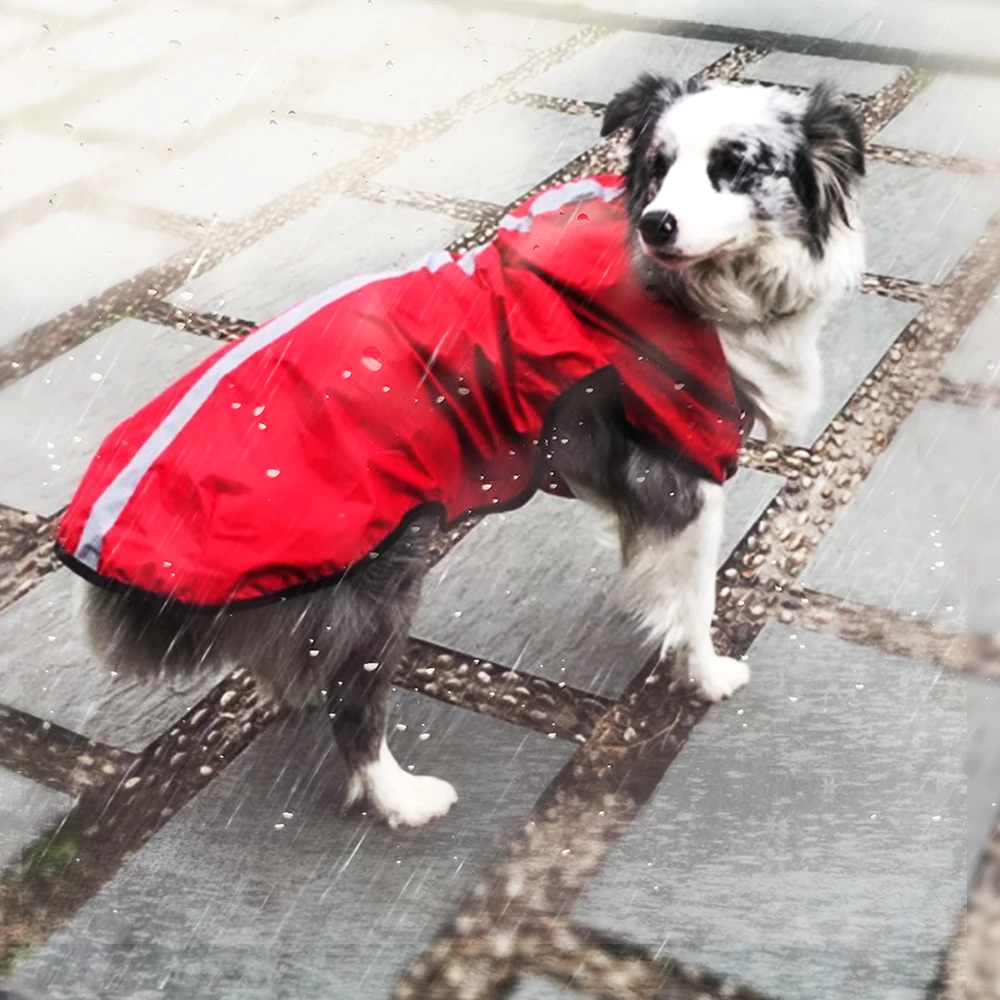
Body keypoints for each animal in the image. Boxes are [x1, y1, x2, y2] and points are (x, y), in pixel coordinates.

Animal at [72, 76, 868, 828]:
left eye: (735, 167)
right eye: (660, 167)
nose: (656, 223)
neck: (689, 291)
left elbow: (647, 560)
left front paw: (648, 606)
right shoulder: (686, 466)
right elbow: (698, 595)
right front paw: (705, 673)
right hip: (378, 584)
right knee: (354, 709)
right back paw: (402, 799)